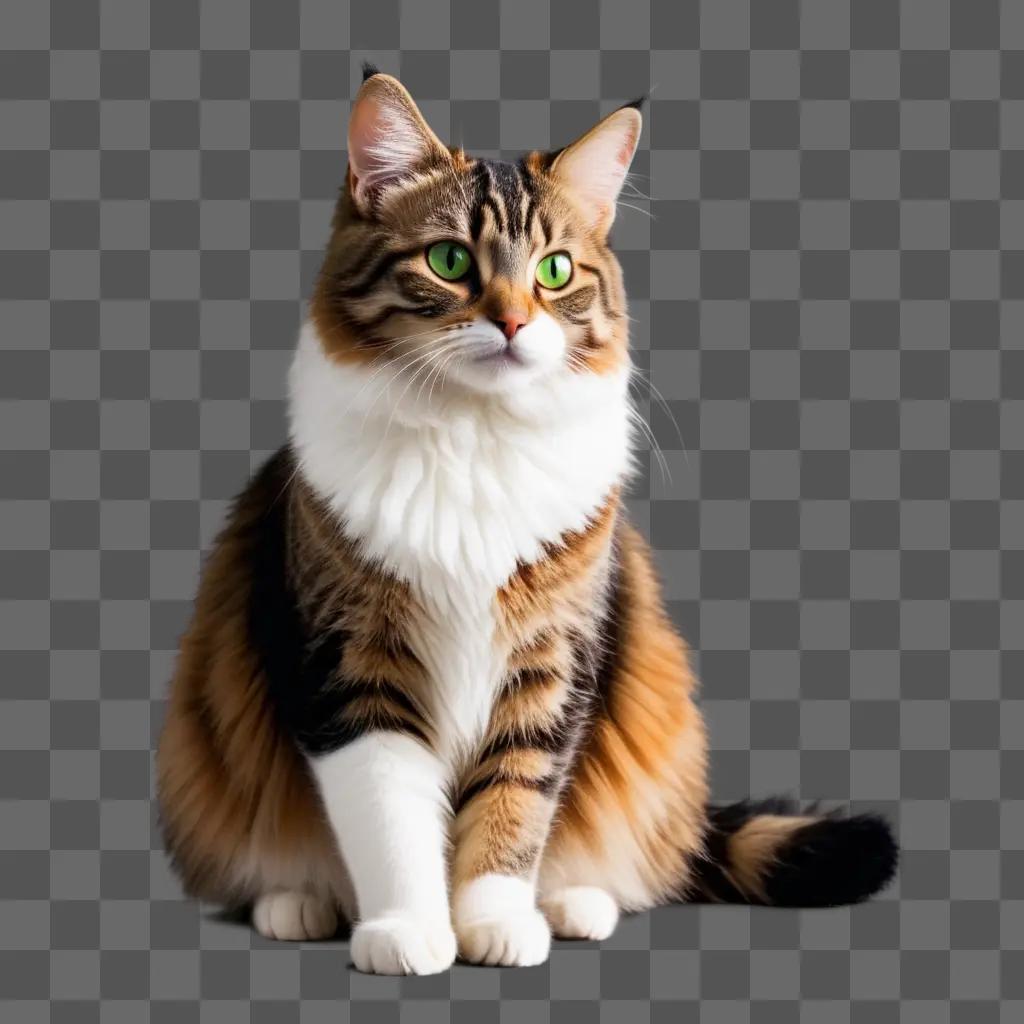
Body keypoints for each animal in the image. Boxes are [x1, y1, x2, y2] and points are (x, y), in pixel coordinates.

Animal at [153, 66, 897, 974]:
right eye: (449, 261)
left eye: (554, 270)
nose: (512, 321)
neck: (474, 438)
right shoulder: (351, 664)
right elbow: (391, 818)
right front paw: (409, 930)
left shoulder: (550, 666)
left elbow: (515, 808)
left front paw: (496, 923)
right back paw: (297, 905)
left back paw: (574, 905)